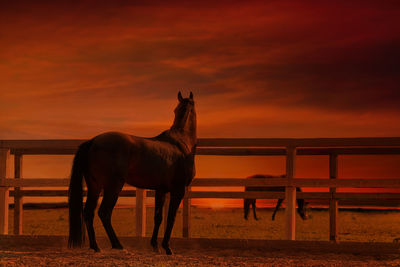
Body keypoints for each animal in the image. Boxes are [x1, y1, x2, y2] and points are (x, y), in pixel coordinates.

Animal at [68, 91, 197, 255]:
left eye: (176, 110)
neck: (181, 143)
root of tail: (92, 141)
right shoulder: (178, 191)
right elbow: (170, 218)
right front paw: (167, 247)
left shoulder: (160, 190)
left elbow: (158, 217)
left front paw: (155, 245)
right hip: (113, 186)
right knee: (104, 213)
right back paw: (117, 245)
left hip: (95, 186)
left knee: (88, 212)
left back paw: (96, 246)